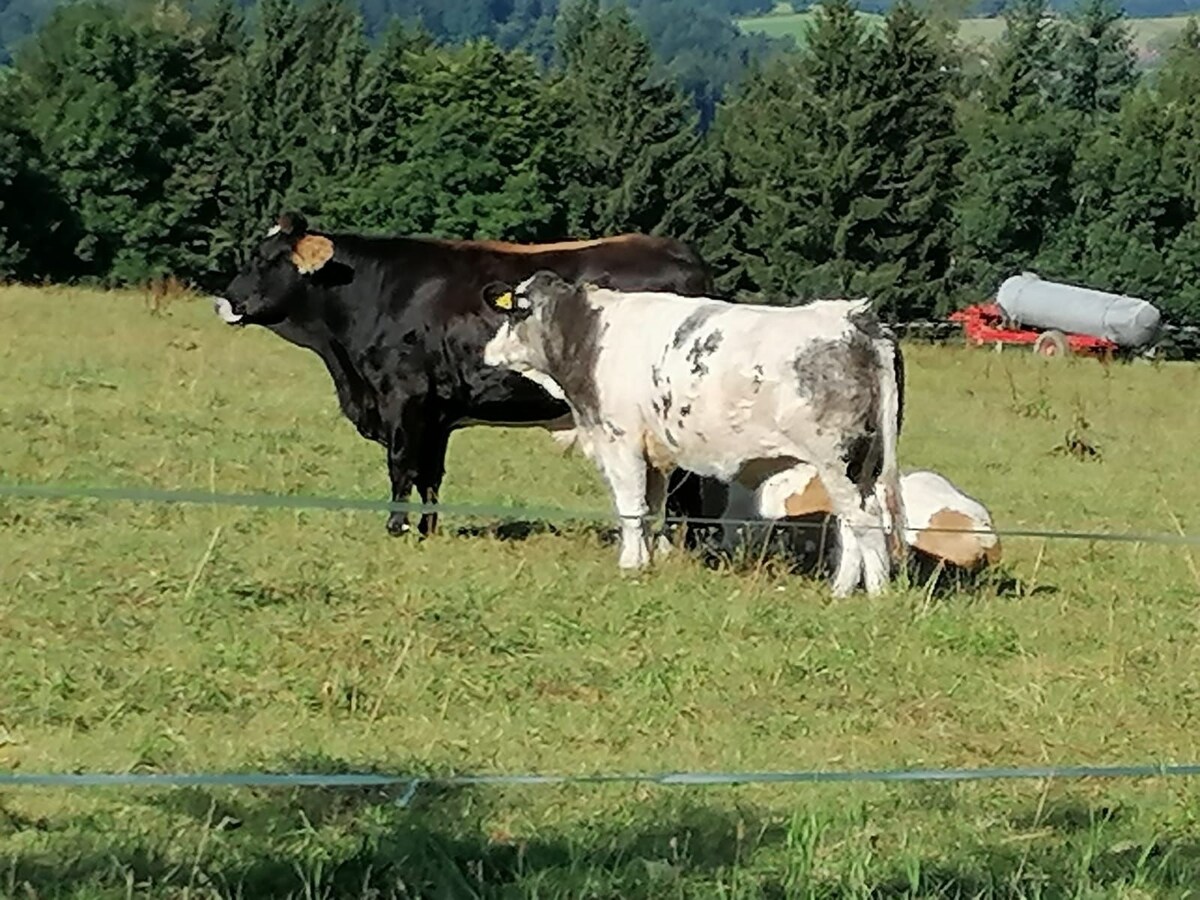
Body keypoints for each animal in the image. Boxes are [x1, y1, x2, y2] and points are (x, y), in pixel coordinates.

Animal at [213, 214, 710, 540]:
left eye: (264, 259)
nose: (223, 301)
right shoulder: (436, 412)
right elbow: (429, 474)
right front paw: (428, 529)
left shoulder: (404, 397)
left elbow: (401, 465)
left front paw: (396, 527)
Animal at [482, 274, 902, 600]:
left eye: (514, 313)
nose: (488, 351)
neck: (585, 334)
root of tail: (852, 317)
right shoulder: (655, 454)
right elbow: (650, 510)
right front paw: (647, 562)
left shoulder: (620, 441)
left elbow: (630, 507)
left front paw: (629, 565)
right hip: (865, 463)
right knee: (855, 521)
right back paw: (846, 590)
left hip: (837, 461)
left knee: (864, 519)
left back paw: (875, 593)